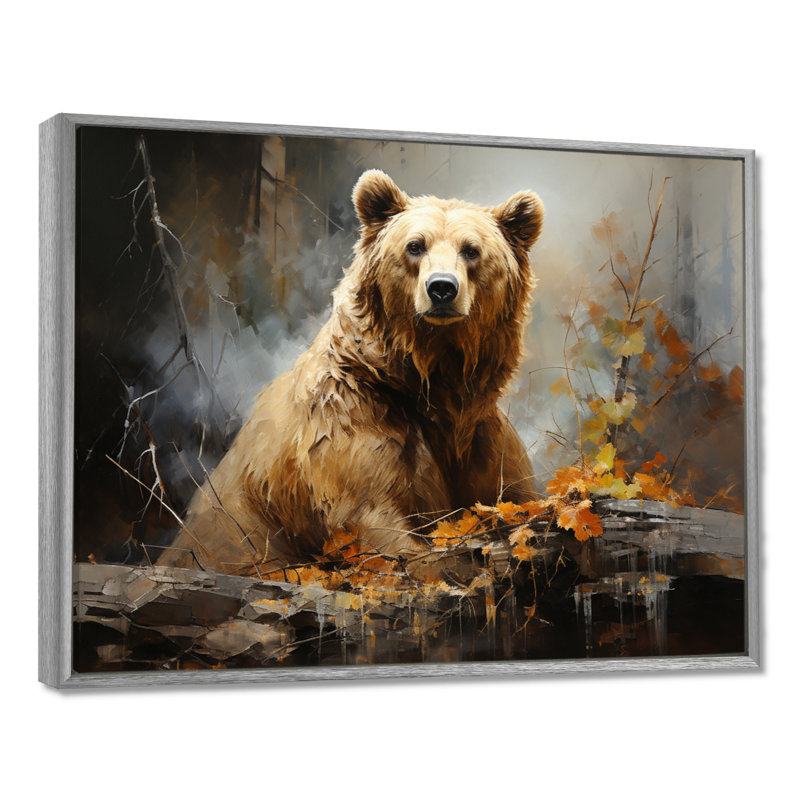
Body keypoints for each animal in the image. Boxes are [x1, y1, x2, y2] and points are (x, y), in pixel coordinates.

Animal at [158, 170, 544, 578]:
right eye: (415, 246)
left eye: (471, 250)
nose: (441, 288)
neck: (430, 377)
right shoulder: (349, 426)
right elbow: (375, 519)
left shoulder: (481, 440)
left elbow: (515, 497)